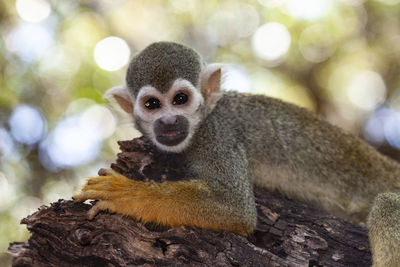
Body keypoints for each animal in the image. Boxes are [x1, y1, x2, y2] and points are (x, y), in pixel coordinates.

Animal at [75, 42, 400, 267]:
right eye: (152, 104)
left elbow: (234, 206)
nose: (168, 122)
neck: (203, 119)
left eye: (180, 99)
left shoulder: (218, 136)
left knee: (387, 206)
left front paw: (125, 194)